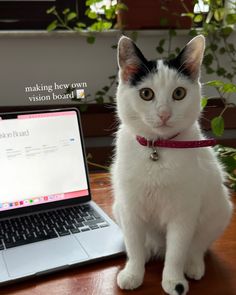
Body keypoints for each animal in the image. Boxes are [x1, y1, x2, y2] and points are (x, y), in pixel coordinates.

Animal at [110, 35, 232, 295]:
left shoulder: (183, 214)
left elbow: (177, 252)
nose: (164, 114)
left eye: (179, 93)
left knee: (196, 246)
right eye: (146, 94)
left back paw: (193, 265)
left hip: (220, 210)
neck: (157, 149)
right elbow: (133, 244)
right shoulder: (130, 208)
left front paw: (173, 281)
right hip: (118, 208)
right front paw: (133, 272)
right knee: (142, 243)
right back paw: (147, 252)